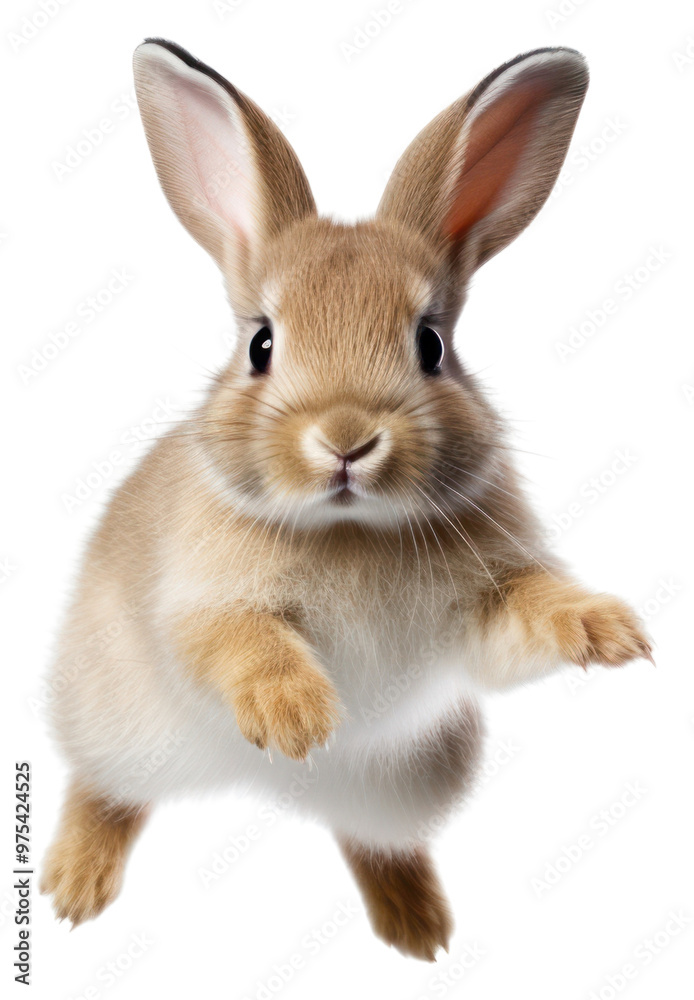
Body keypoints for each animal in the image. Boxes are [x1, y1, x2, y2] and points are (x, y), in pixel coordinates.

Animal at [40, 39, 652, 961]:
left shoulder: (482, 614)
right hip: (119, 722)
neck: (350, 529)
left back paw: (418, 926)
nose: (347, 438)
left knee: (375, 842)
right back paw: (73, 887)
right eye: (261, 345)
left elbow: (531, 614)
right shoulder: (202, 608)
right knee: (102, 790)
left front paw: (607, 631)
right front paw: (295, 717)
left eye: (431, 344)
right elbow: (246, 643)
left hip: (408, 782)